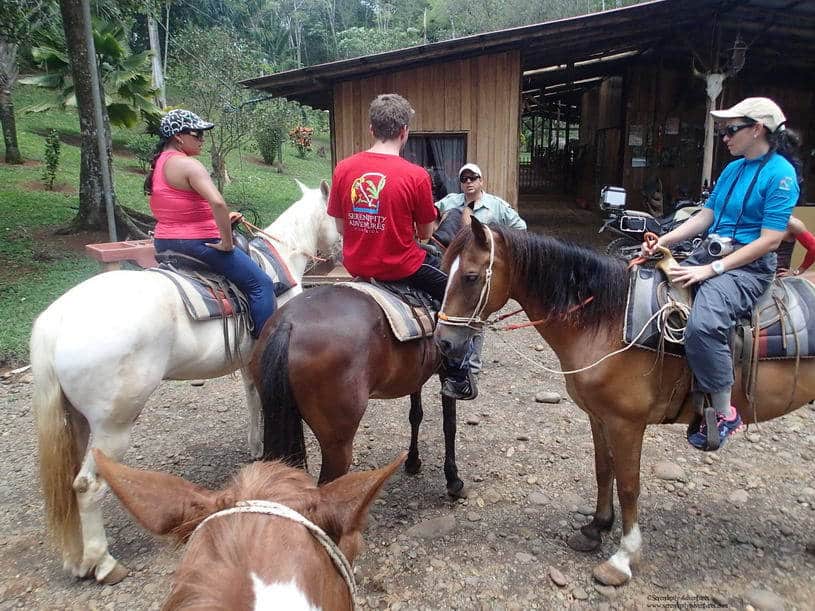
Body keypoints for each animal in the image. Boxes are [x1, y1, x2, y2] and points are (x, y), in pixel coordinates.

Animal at [436, 220, 812, 588]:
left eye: (470, 276)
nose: (444, 341)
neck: (610, 321)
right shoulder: (599, 417)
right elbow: (604, 470)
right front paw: (596, 527)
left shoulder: (627, 424)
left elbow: (629, 485)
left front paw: (623, 558)